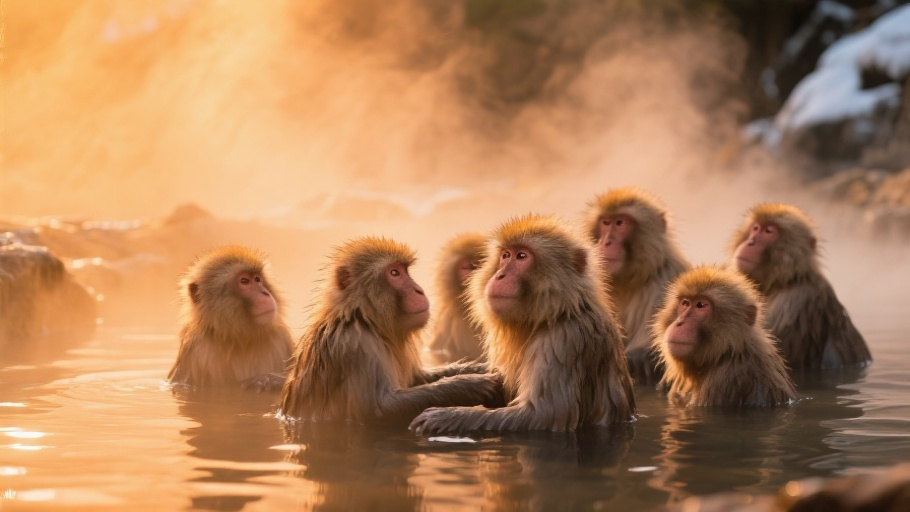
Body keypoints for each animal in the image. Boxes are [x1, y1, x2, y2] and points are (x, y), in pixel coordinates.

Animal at [167, 246, 294, 391]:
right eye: (244, 281)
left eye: (257, 279)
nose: (265, 293)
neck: (241, 341)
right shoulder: (197, 348)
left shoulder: (280, 336)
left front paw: (271, 380)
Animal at [586, 188, 690, 383]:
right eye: (605, 222)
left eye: (620, 223)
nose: (605, 242)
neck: (625, 280)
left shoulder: (666, 279)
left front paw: (638, 358)